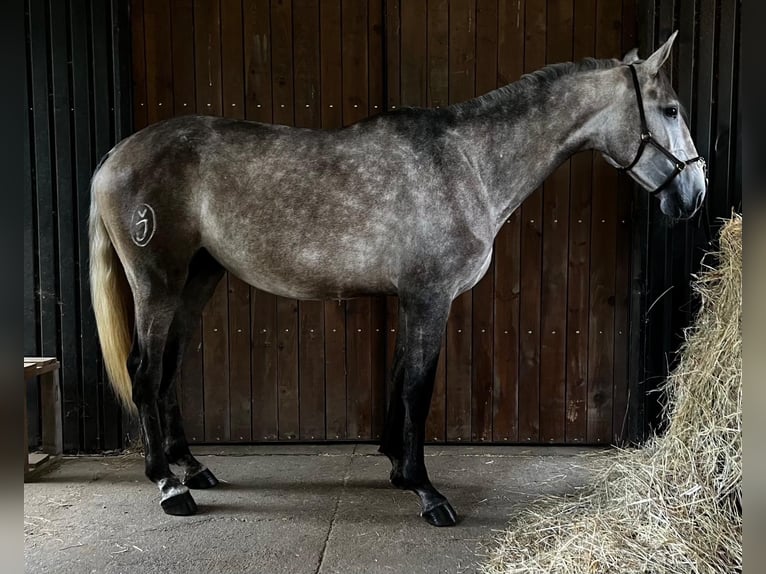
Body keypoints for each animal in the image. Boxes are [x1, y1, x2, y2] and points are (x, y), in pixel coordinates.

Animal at [89, 31, 706, 527]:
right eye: (672, 109)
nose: (694, 194)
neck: (466, 164)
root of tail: (114, 158)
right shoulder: (431, 298)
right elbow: (417, 388)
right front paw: (426, 492)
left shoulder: (413, 300)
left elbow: (399, 379)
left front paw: (395, 466)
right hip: (157, 283)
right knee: (144, 371)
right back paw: (168, 484)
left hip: (197, 280)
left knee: (169, 370)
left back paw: (192, 467)